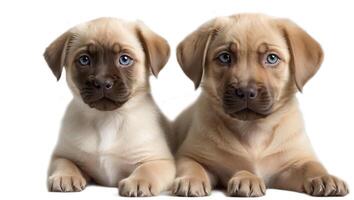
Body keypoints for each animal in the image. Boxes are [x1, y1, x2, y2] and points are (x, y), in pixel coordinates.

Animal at [44, 17, 176, 197]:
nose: (102, 82)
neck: (107, 118)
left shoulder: (161, 161)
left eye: (124, 59)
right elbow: (66, 163)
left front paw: (138, 181)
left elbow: (147, 169)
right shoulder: (62, 155)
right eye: (84, 60)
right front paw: (66, 176)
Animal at [171, 13, 348, 197]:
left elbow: (311, 165)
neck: (253, 130)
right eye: (225, 57)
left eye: (272, 58)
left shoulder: (290, 166)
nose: (245, 92)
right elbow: (192, 165)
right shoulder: (189, 155)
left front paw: (323, 177)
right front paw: (192, 179)